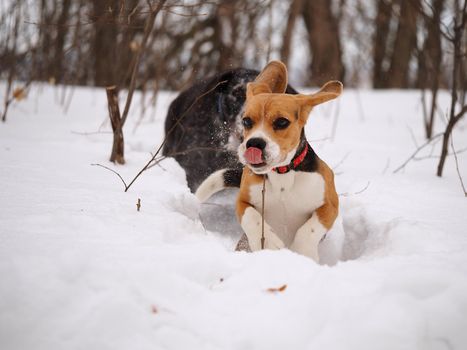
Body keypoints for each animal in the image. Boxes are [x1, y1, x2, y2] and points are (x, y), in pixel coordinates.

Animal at [196, 60, 342, 262]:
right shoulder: (243, 201)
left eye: (282, 122)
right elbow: (252, 217)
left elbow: (311, 228)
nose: (254, 143)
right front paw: (269, 244)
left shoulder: (330, 205)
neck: (283, 173)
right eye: (247, 121)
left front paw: (302, 251)